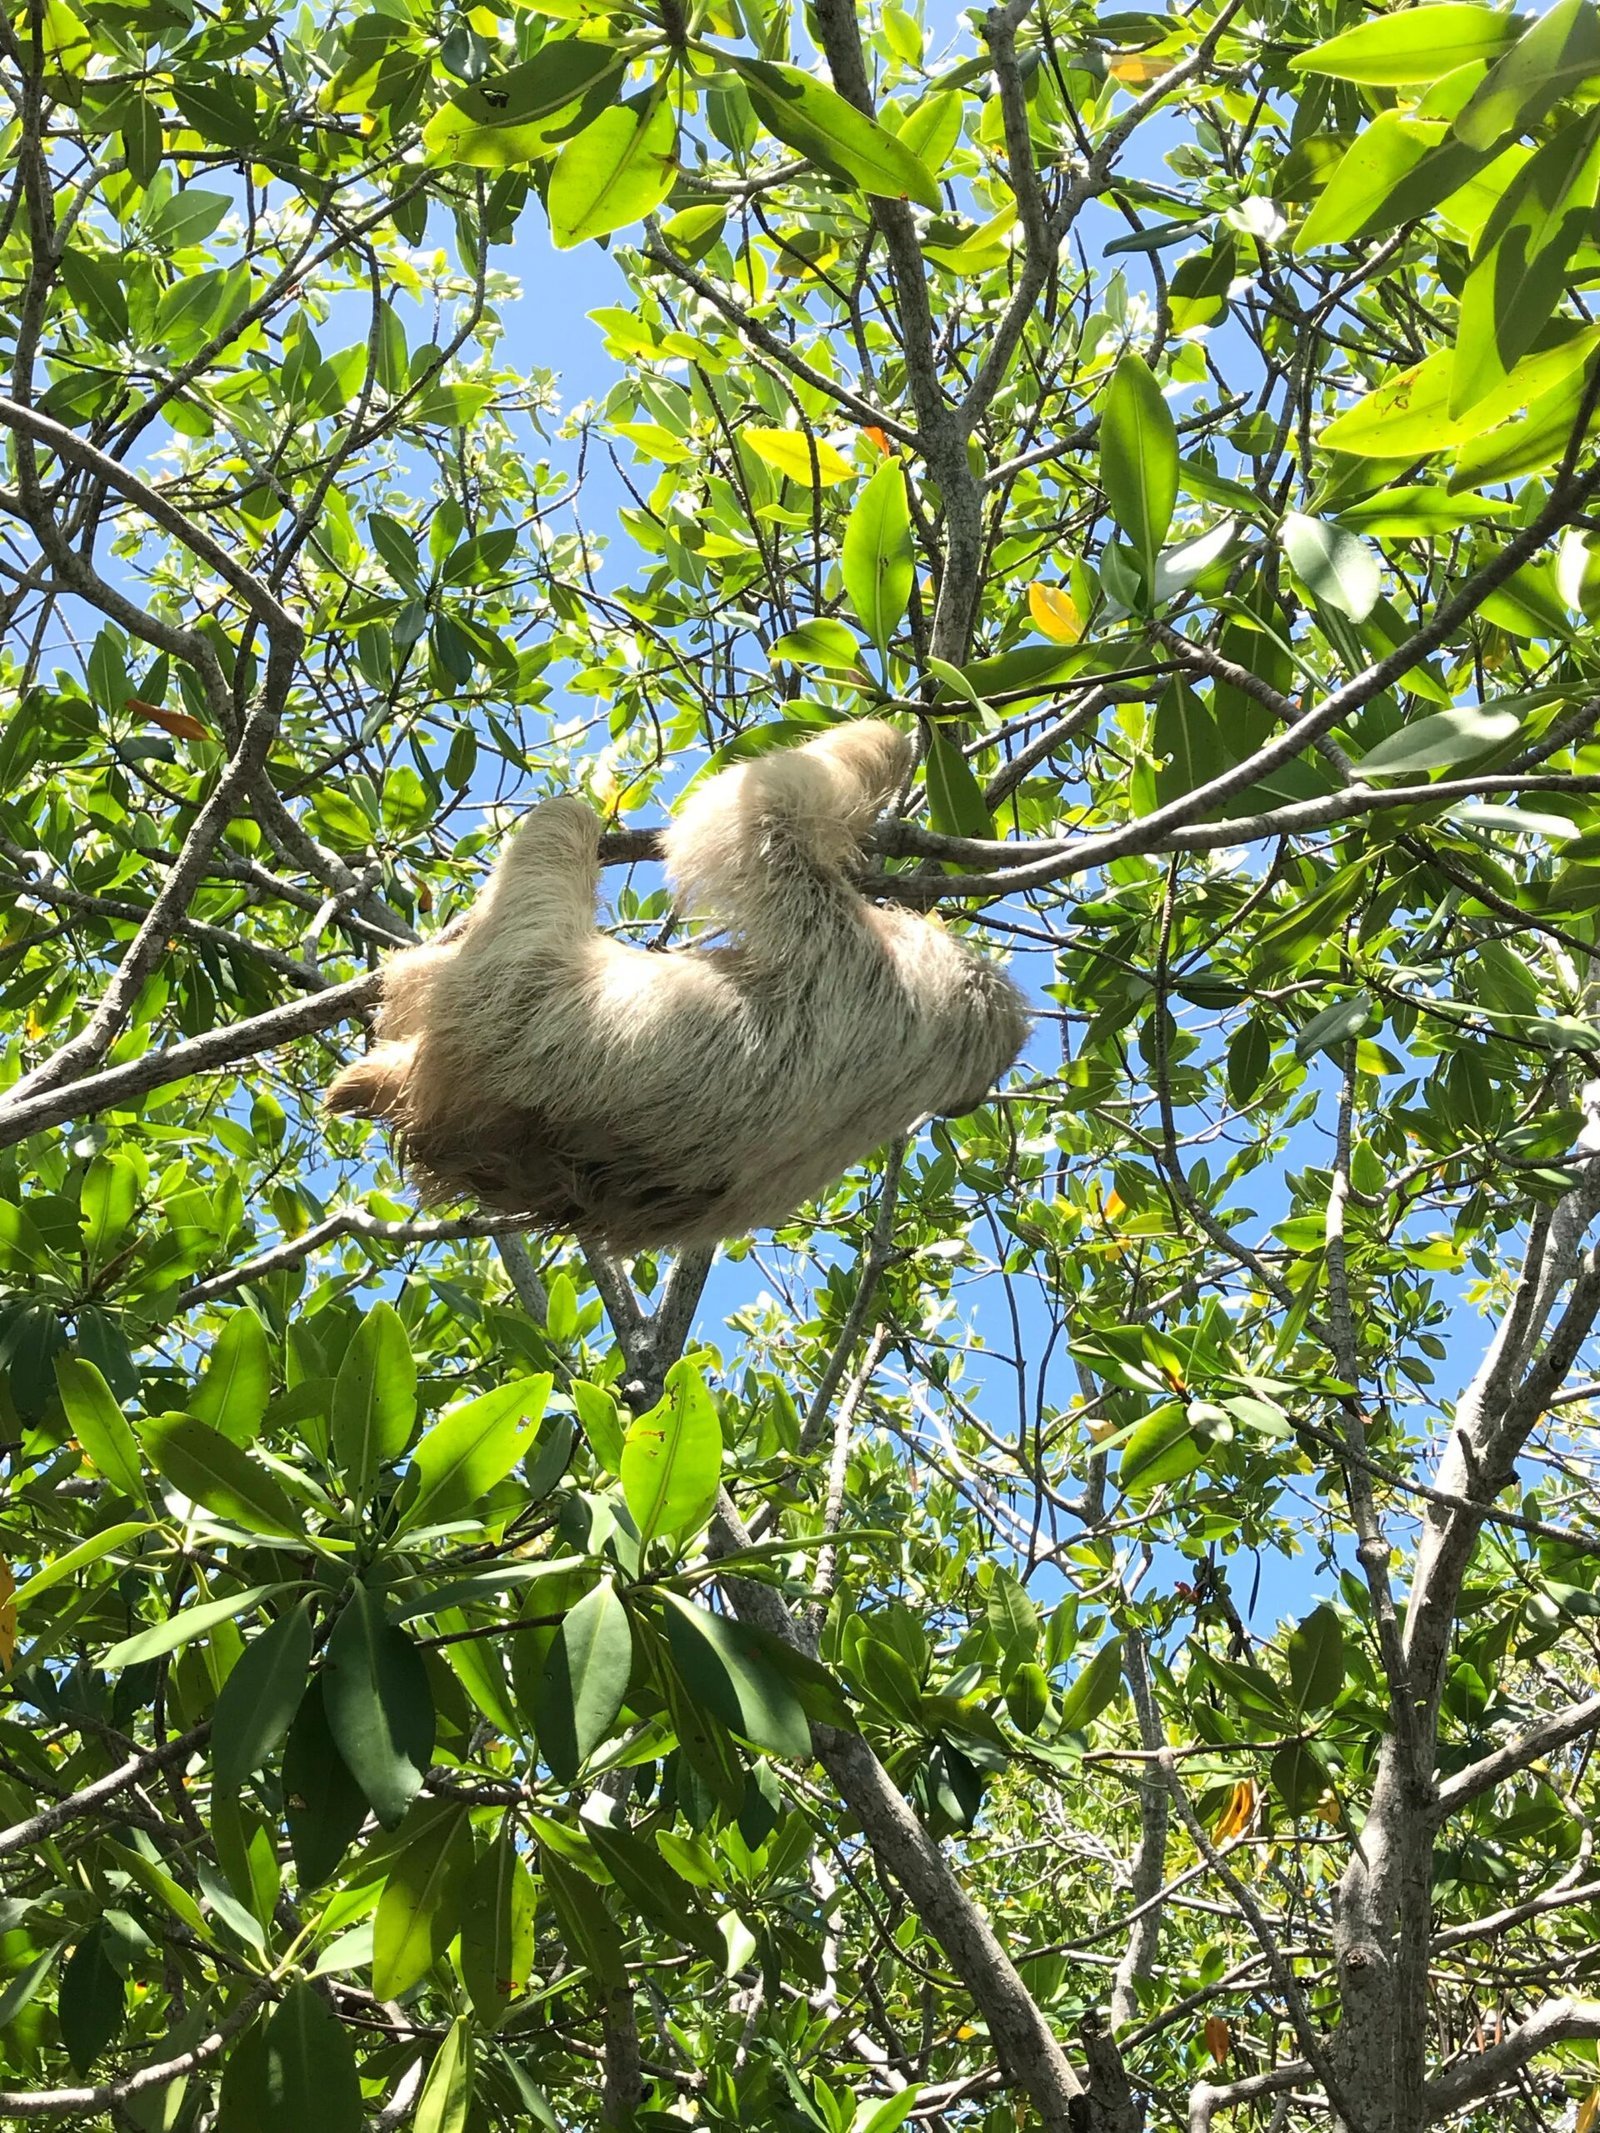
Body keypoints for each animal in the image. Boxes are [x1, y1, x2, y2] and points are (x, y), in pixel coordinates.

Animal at [325, 720, 1028, 1253]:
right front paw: (913, 734)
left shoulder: (848, 956)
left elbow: (759, 811)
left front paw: (894, 733)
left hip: (507, 984)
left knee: (557, 832)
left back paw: (360, 1079)